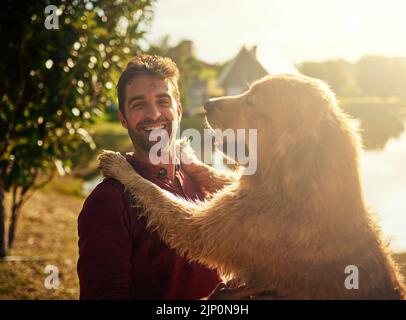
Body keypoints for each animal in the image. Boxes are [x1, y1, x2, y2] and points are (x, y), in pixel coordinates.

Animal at [99, 74, 406, 298]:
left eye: (252, 102)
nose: (207, 103)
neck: (293, 186)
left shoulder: (204, 228)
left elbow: (156, 193)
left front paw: (121, 167)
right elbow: (218, 178)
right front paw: (188, 156)